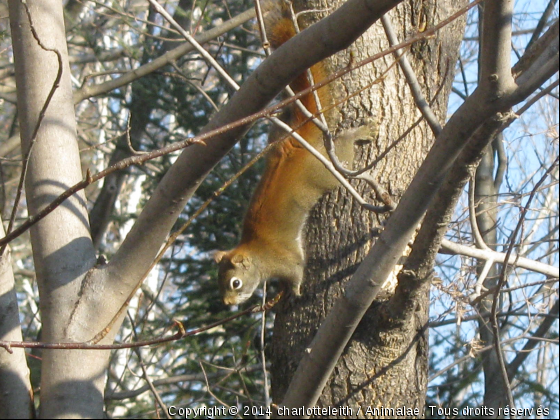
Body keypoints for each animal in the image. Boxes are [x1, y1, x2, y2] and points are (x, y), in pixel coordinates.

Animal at [214, 1, 372, 306]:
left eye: (235, 283)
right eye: (217, 282)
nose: (226, 303)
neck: (257, 252)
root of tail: (296, 141)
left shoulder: (285, 261)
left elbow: (297, 272)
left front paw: (293, 292)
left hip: (326, 171)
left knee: (343, 149)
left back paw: (358, 134)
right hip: (280, 132)